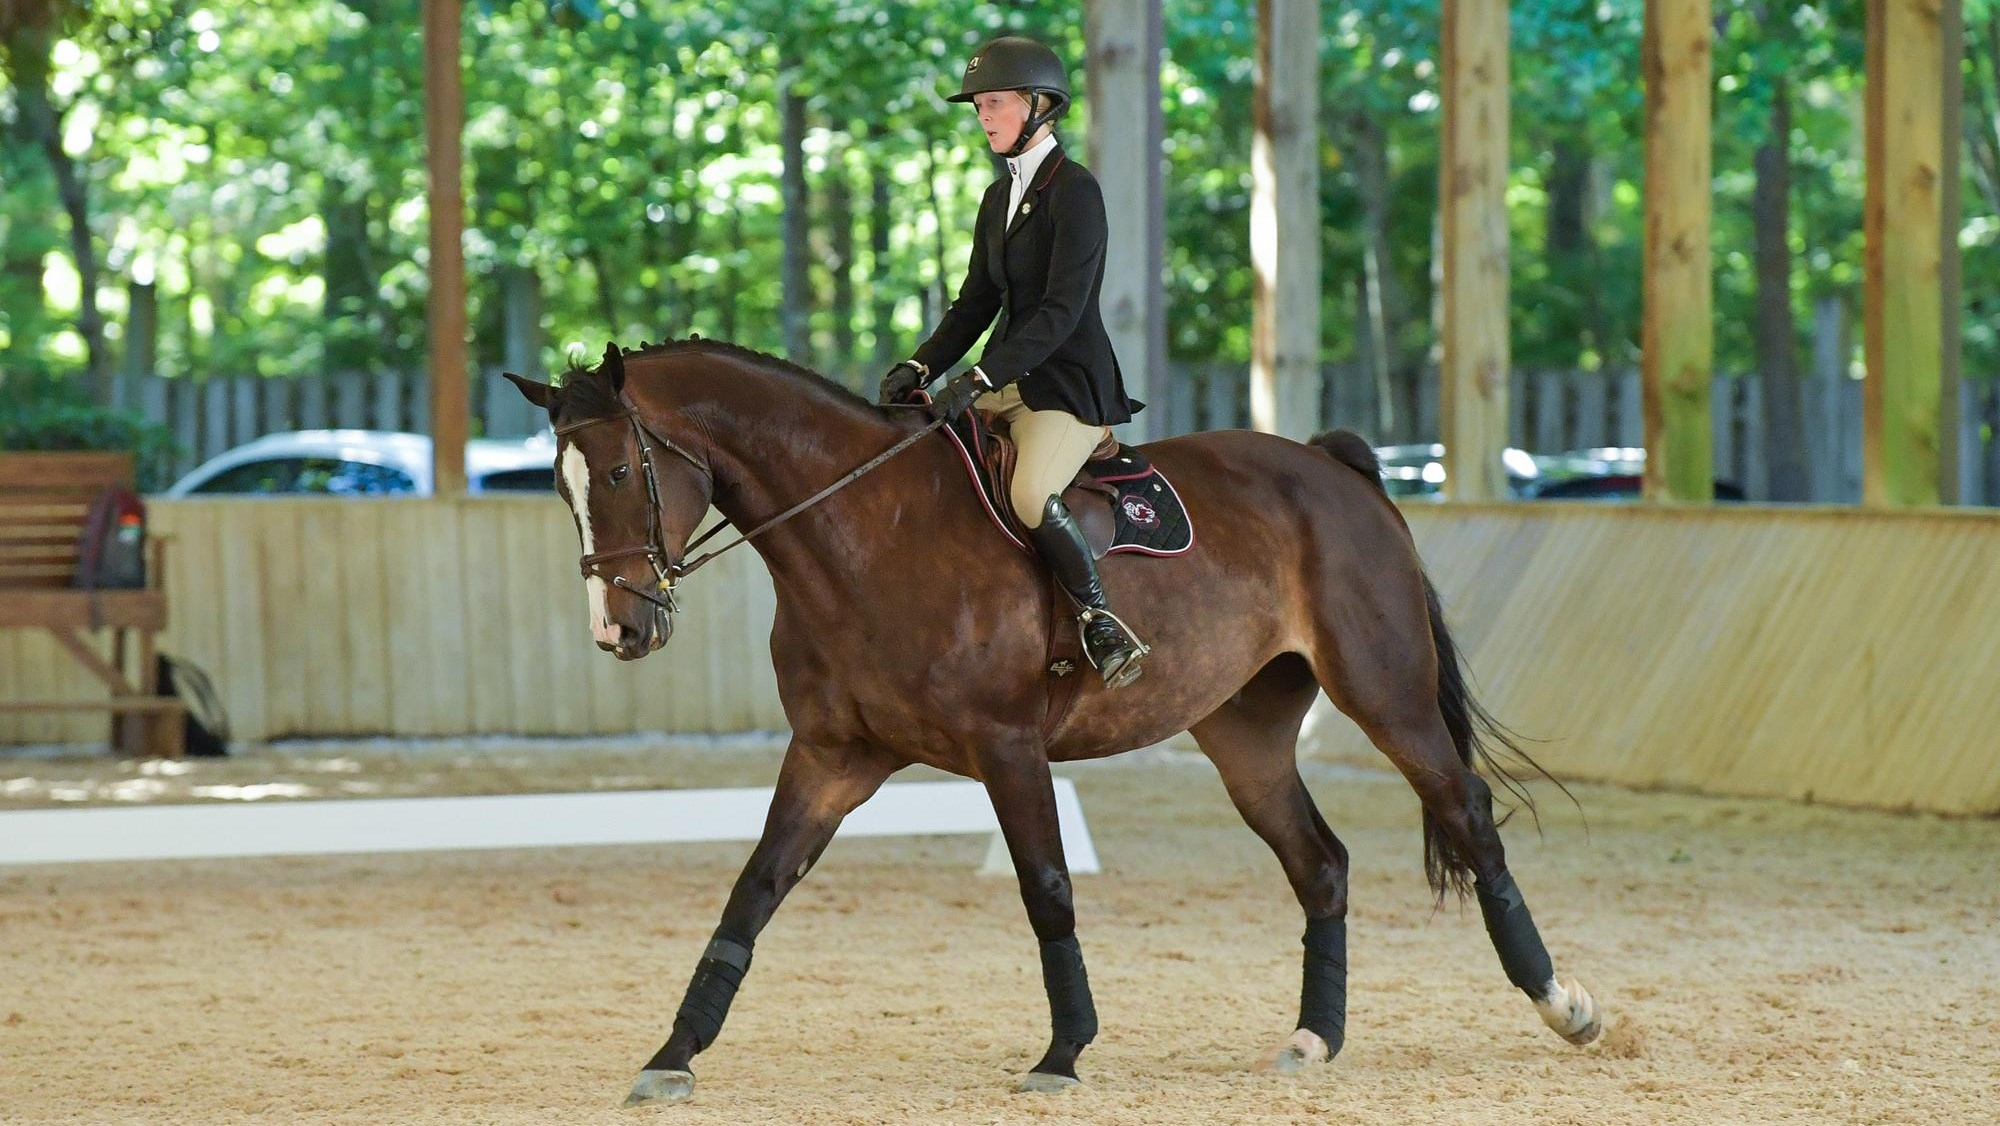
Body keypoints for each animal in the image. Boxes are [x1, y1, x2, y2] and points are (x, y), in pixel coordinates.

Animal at [504, 340, 1608, 1104]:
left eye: (617, 474)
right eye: (559, 487)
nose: (620, 629)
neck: (863, 532)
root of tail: (1333, 467)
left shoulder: (1006, 745)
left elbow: (1046, 890)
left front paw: (1063, 1051)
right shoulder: (832, 755)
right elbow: (752, 892)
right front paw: (671, 1054)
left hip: (1384, 693)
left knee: (1466, 816)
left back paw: (1564, 1006)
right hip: (1245, 733)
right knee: (1320, 860)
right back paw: (1311, 1038)